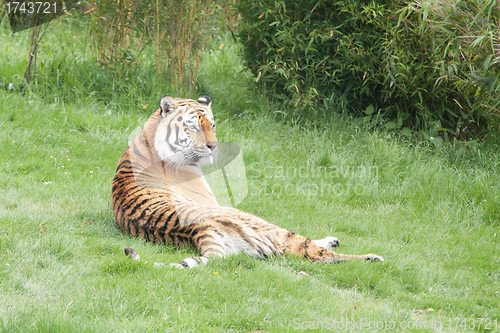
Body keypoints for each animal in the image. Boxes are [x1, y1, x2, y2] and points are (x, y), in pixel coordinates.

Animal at [110, 96, 382, 268]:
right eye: (193, 127)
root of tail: (197, 230)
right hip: (260, 224)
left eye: (212, 125)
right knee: (314, 253)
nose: (213, 146)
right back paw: (372, 258)